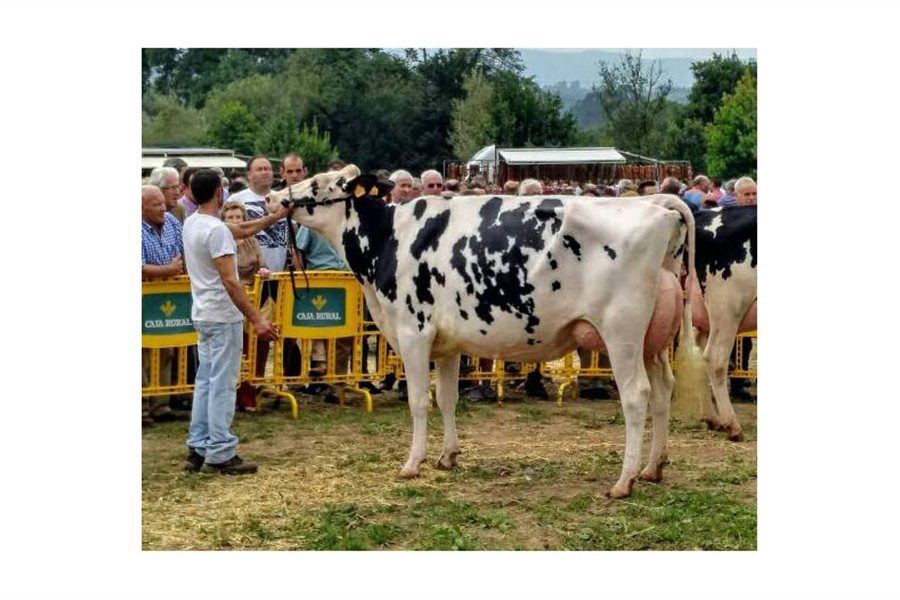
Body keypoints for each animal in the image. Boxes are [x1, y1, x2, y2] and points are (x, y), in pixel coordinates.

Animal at [270, 164, 708, 496]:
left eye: (319, 184)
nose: (275, 196)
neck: (388, 238)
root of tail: (657, 204)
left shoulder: (413, 333)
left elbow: (418, 401)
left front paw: (413, 462)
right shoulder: (446, 345)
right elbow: (446, 399)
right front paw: (448, 456)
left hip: (622, 334)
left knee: (636, 397)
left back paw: (624, 480)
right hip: (653, 341)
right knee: (663, 391)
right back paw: (653, 467)